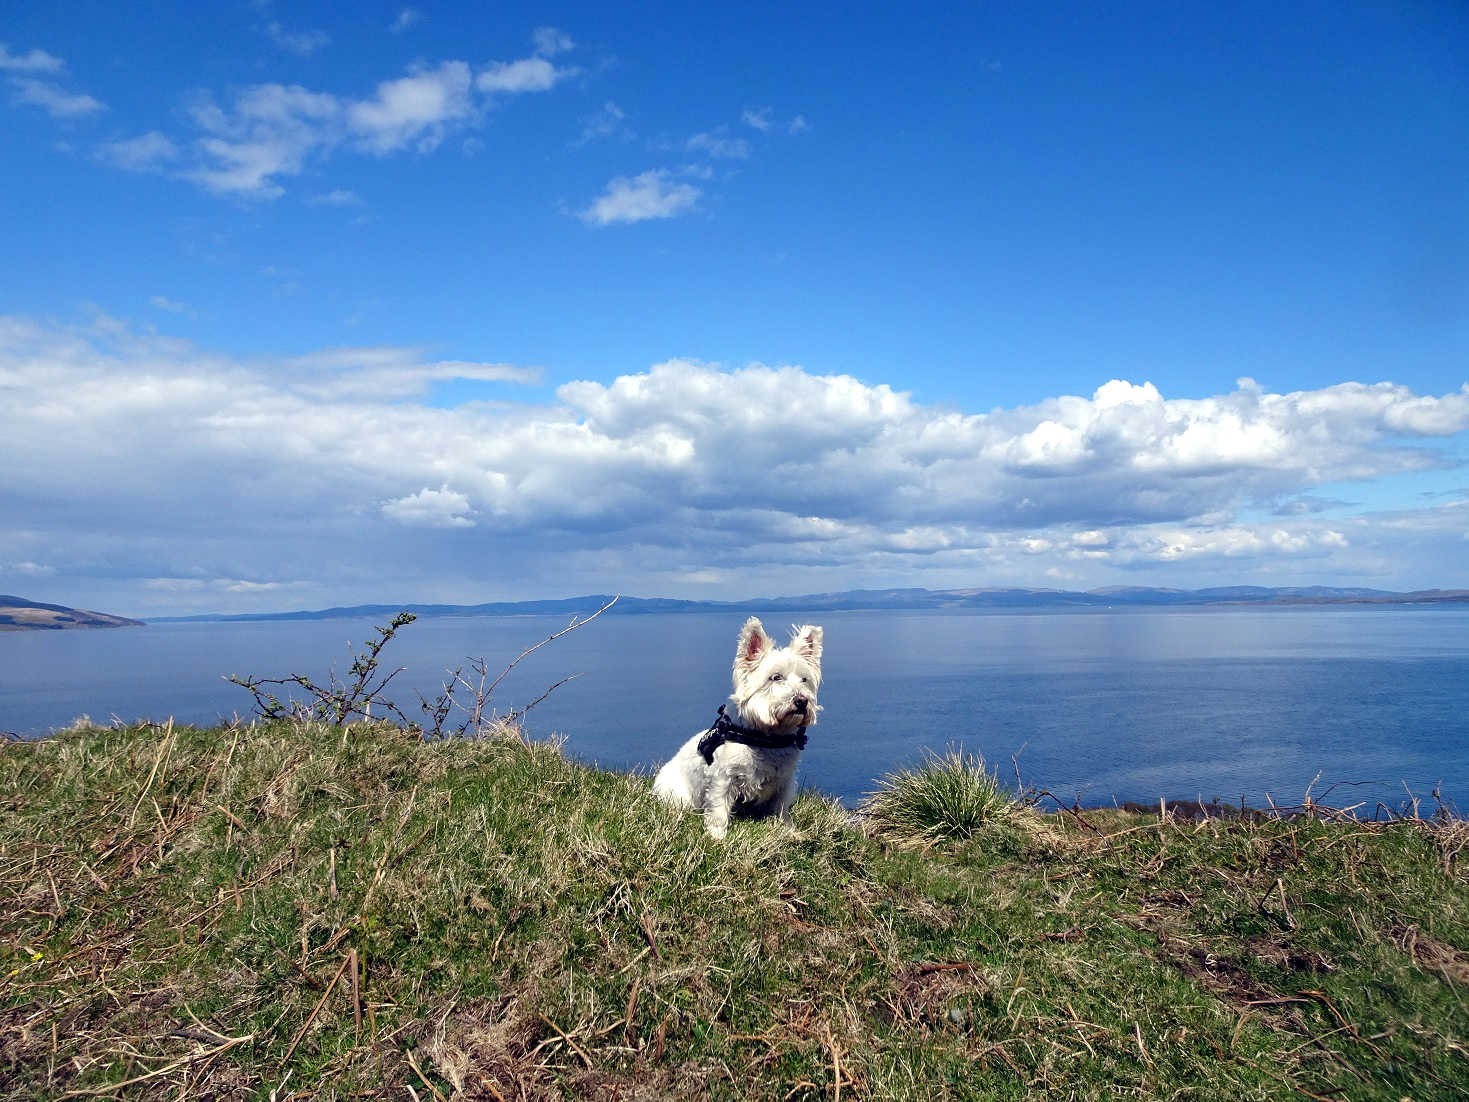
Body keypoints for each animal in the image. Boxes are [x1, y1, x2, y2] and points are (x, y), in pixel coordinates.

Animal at [652, 617, 822, 840]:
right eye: (776, 677)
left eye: (804, 679)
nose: (802, 701)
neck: (766, 738)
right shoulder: (722, 778)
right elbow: (718, 808)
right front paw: (717, 836)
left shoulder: (784, 781)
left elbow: (781, 808)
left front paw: (789, 831)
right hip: (677, 793)